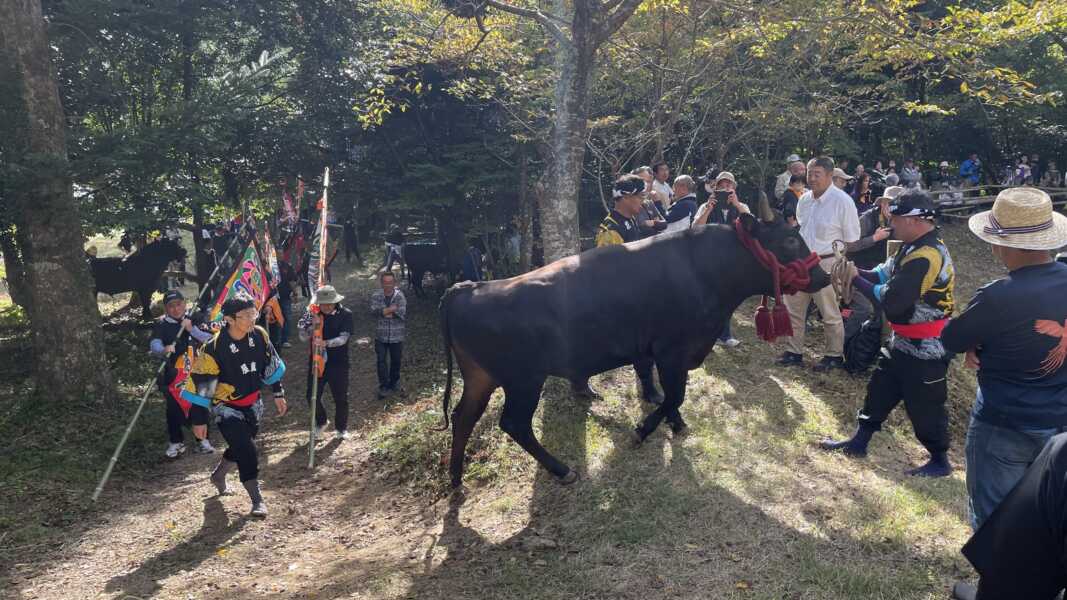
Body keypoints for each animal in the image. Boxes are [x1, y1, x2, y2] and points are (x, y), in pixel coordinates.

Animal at [437, 202, 827, 488]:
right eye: (790, 240)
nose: (823, 276)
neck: (706, 271)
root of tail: (470, 287)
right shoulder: (672, 350)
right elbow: (674, 394)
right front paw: (645, 429)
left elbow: (673, 394)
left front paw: (676, 423)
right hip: (523, 380)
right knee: (514, 424)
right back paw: (562, 469)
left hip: (481, 377)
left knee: (463, 416)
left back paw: (455, 477)